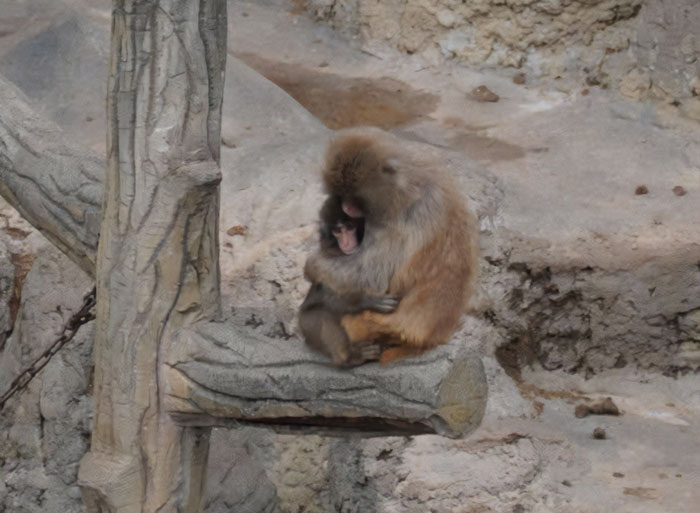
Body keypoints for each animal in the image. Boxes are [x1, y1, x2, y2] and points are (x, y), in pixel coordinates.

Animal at [299, 196, 399, 367]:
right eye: (337, 231)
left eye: (349, 227)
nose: (345, 242)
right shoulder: (329, 256)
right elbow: (330, 296)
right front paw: (367, 300)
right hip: (305, 325)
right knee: (324, 314)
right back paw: (350, 357)